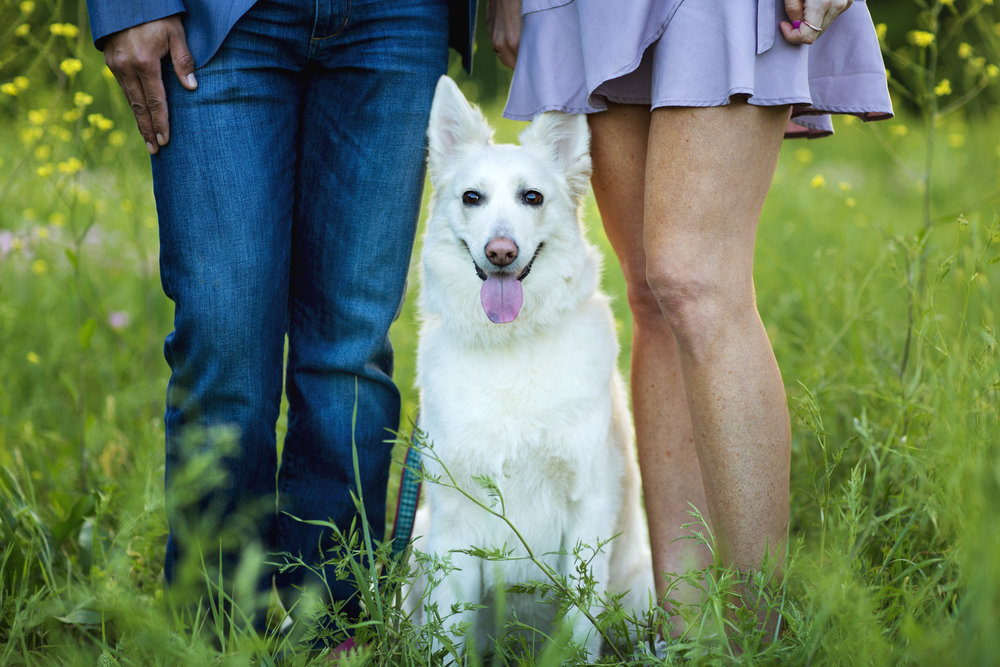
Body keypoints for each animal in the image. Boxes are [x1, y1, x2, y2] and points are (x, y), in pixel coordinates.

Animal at [408, 75, 656, 660]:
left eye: (532, 197)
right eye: (472, 198)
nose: (501, 252)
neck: (511, 346)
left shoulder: (589, 507)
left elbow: (581, 626)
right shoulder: (453, 520)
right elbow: (448, 638)